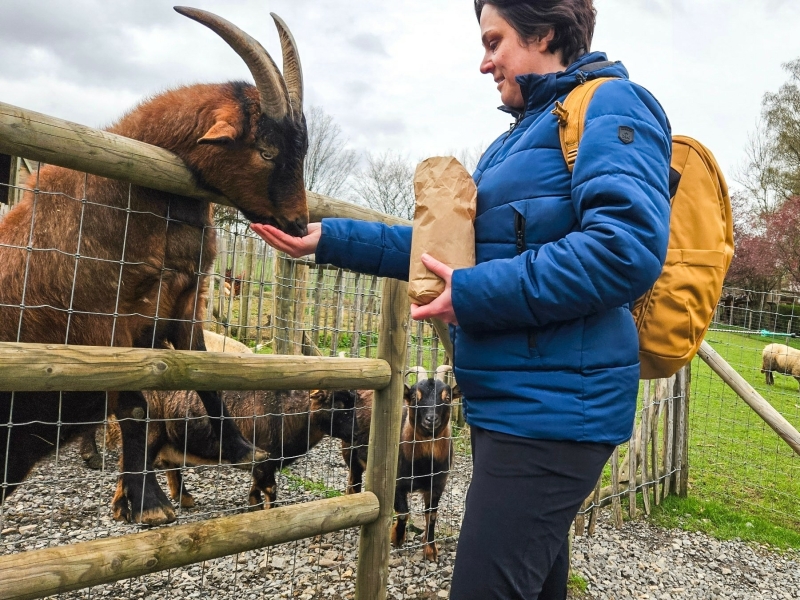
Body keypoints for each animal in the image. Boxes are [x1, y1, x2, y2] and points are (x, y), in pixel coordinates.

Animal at [0, 8, 310, 524]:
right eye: (267, 150)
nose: (299, 225)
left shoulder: (184, 303)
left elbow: (206, 379)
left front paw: (241, 448)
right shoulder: (104, 324)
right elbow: (135, 406)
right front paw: (148, 503)